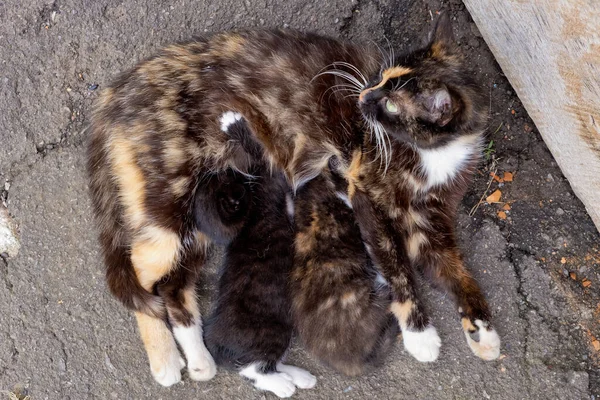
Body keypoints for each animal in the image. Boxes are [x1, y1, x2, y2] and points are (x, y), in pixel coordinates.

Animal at [202, 120, 316, 398]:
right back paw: (283, 384)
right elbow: (262, 158)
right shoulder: (274, 189)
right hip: (272, 330)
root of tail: (216, 341)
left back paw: (299, 376)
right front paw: (234, 123)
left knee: (268, 361)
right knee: (253, 367)